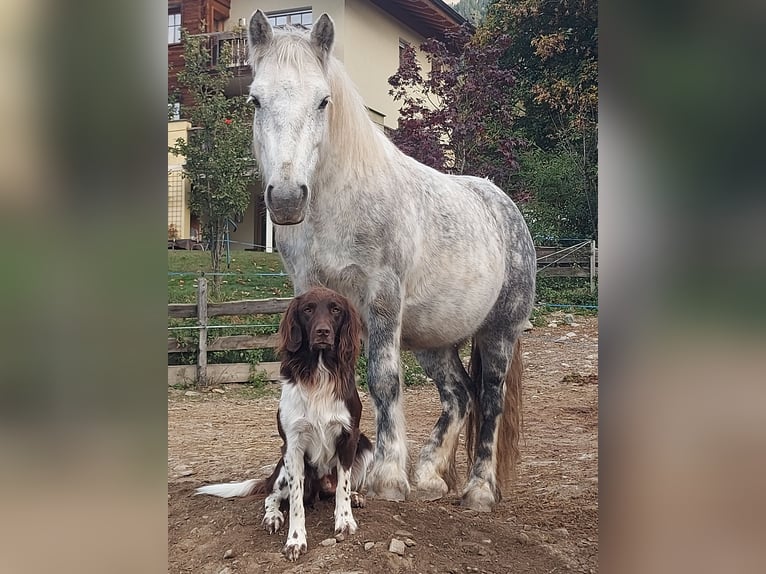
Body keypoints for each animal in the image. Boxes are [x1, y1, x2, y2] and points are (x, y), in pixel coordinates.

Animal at [196, 288, 374, 564]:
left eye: (336, 309)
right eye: (308, 309)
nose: (323, 332)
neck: (319, 372)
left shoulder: (350, 436)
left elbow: (343, 488)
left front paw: (344, 520)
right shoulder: (293, 445)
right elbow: (296, 502)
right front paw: (295, 540)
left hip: (365, 444)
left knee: (336, 489)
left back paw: (353, 497)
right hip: (282, 467)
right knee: (272, 495)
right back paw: (272, 516)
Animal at [246, 10, 536, 512]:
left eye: (323, 101)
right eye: (256, 100)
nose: (285, 199)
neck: (341, 204)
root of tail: (507, 209)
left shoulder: (382, 298)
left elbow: (383, 380)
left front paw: (386, 477)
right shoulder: (313, 296)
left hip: (498, 333)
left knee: (489, 400)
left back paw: (478, 489)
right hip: (433, 340)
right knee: (459, 395)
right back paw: (430, 475)